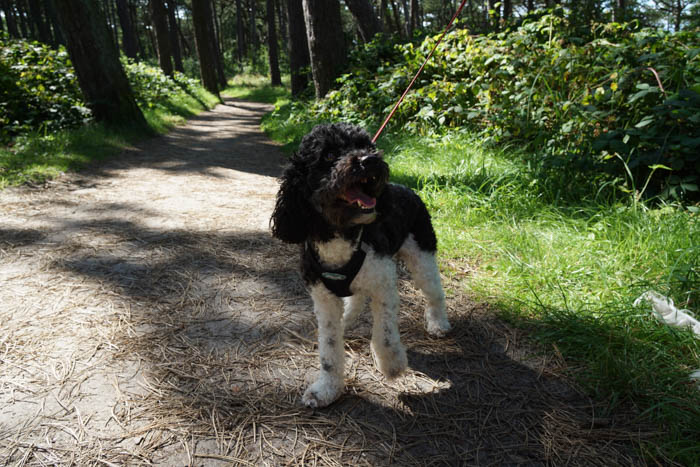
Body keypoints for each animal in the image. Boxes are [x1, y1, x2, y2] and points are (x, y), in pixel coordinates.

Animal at [270, 123, 450, 408]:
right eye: (329, 155)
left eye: (367, 145)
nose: (371, 160)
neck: (343, 234)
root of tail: (406, 188)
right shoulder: (324, 299)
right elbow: (329, 351)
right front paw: (326, 390)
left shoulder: (384, 286)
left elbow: (385, 334)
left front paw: (392, 364)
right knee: (355, 300)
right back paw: (347, 319)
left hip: (422, 258)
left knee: (435, 294)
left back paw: (438, 324)